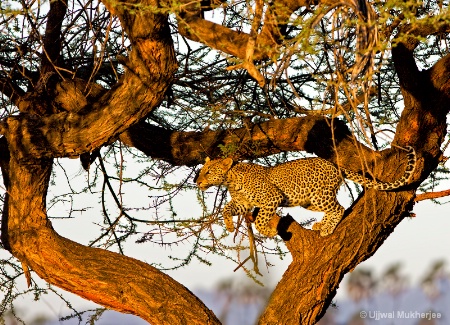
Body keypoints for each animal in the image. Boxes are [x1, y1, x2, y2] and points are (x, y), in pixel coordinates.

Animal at [195, 146, 416, 235]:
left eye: (208, 171)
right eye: (201, 171)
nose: (197, 182)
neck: (231, 181)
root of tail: (334, 164)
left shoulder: (272, 198)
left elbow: (259, 219)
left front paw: (268, 230)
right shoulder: (242, 203)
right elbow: (226, 208)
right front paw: (229, 225)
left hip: (319, 196)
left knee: (339, 208)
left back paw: (327, 229)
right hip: (309, 202)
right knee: (333, 209)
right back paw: (321, 225)